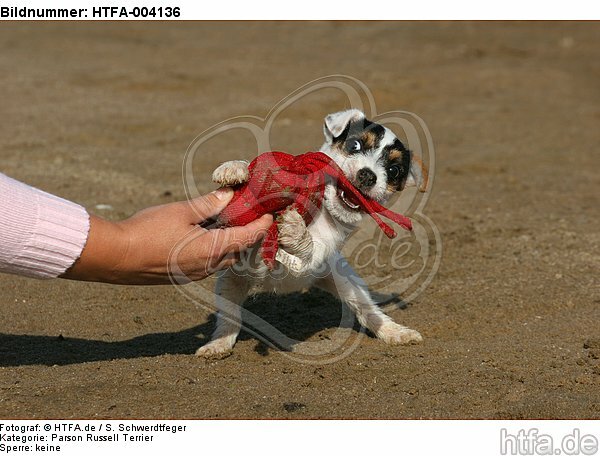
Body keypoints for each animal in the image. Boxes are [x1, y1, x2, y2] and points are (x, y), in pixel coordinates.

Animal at [197, 108, 426, 358]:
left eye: (393, 170)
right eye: (355, 145)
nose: (367, 175)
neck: (324, 211)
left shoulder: (310, 259)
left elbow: (306, 250)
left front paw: (295, 229)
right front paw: (236, 168)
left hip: (345, 282)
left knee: (368, 310)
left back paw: (395, 331)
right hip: (229, 283)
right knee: (230, 317)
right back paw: (218, 343)